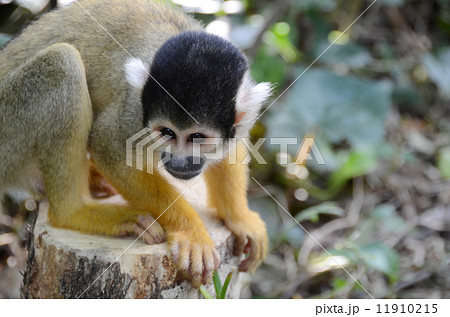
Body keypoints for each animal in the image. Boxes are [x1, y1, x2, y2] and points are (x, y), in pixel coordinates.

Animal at [0, 0, 270, 284]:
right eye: (167, 132)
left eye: (197, 137)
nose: (179, 162)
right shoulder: (134, 110)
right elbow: (107, 147)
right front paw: (191, 232)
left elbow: (232, 150)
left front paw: (239, 217)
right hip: (8, 131)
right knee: (63, 63)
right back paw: (75, 212)